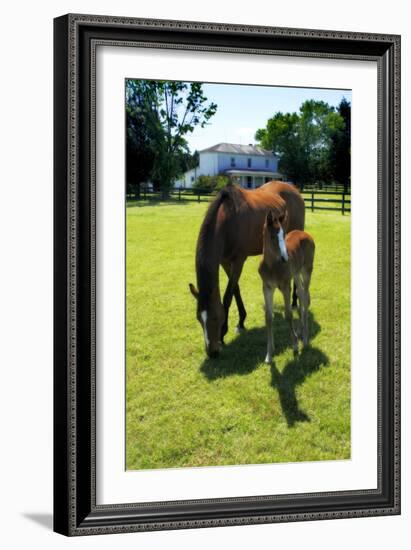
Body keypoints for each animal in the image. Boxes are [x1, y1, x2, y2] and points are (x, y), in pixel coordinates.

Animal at [260, 210, 316, 362]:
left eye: (284, 234)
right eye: (272, 236)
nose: (285, 258)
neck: (272, 266)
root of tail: (305, 234)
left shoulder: (286, 287)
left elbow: (288, 315)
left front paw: (295, 345)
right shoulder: (267, 287)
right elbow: (269, 317)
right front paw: (269, 354)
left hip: (306, 271)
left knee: (305, 298)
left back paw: (305, 338)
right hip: (296, 274)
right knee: (301, 294)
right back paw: (300, 331)